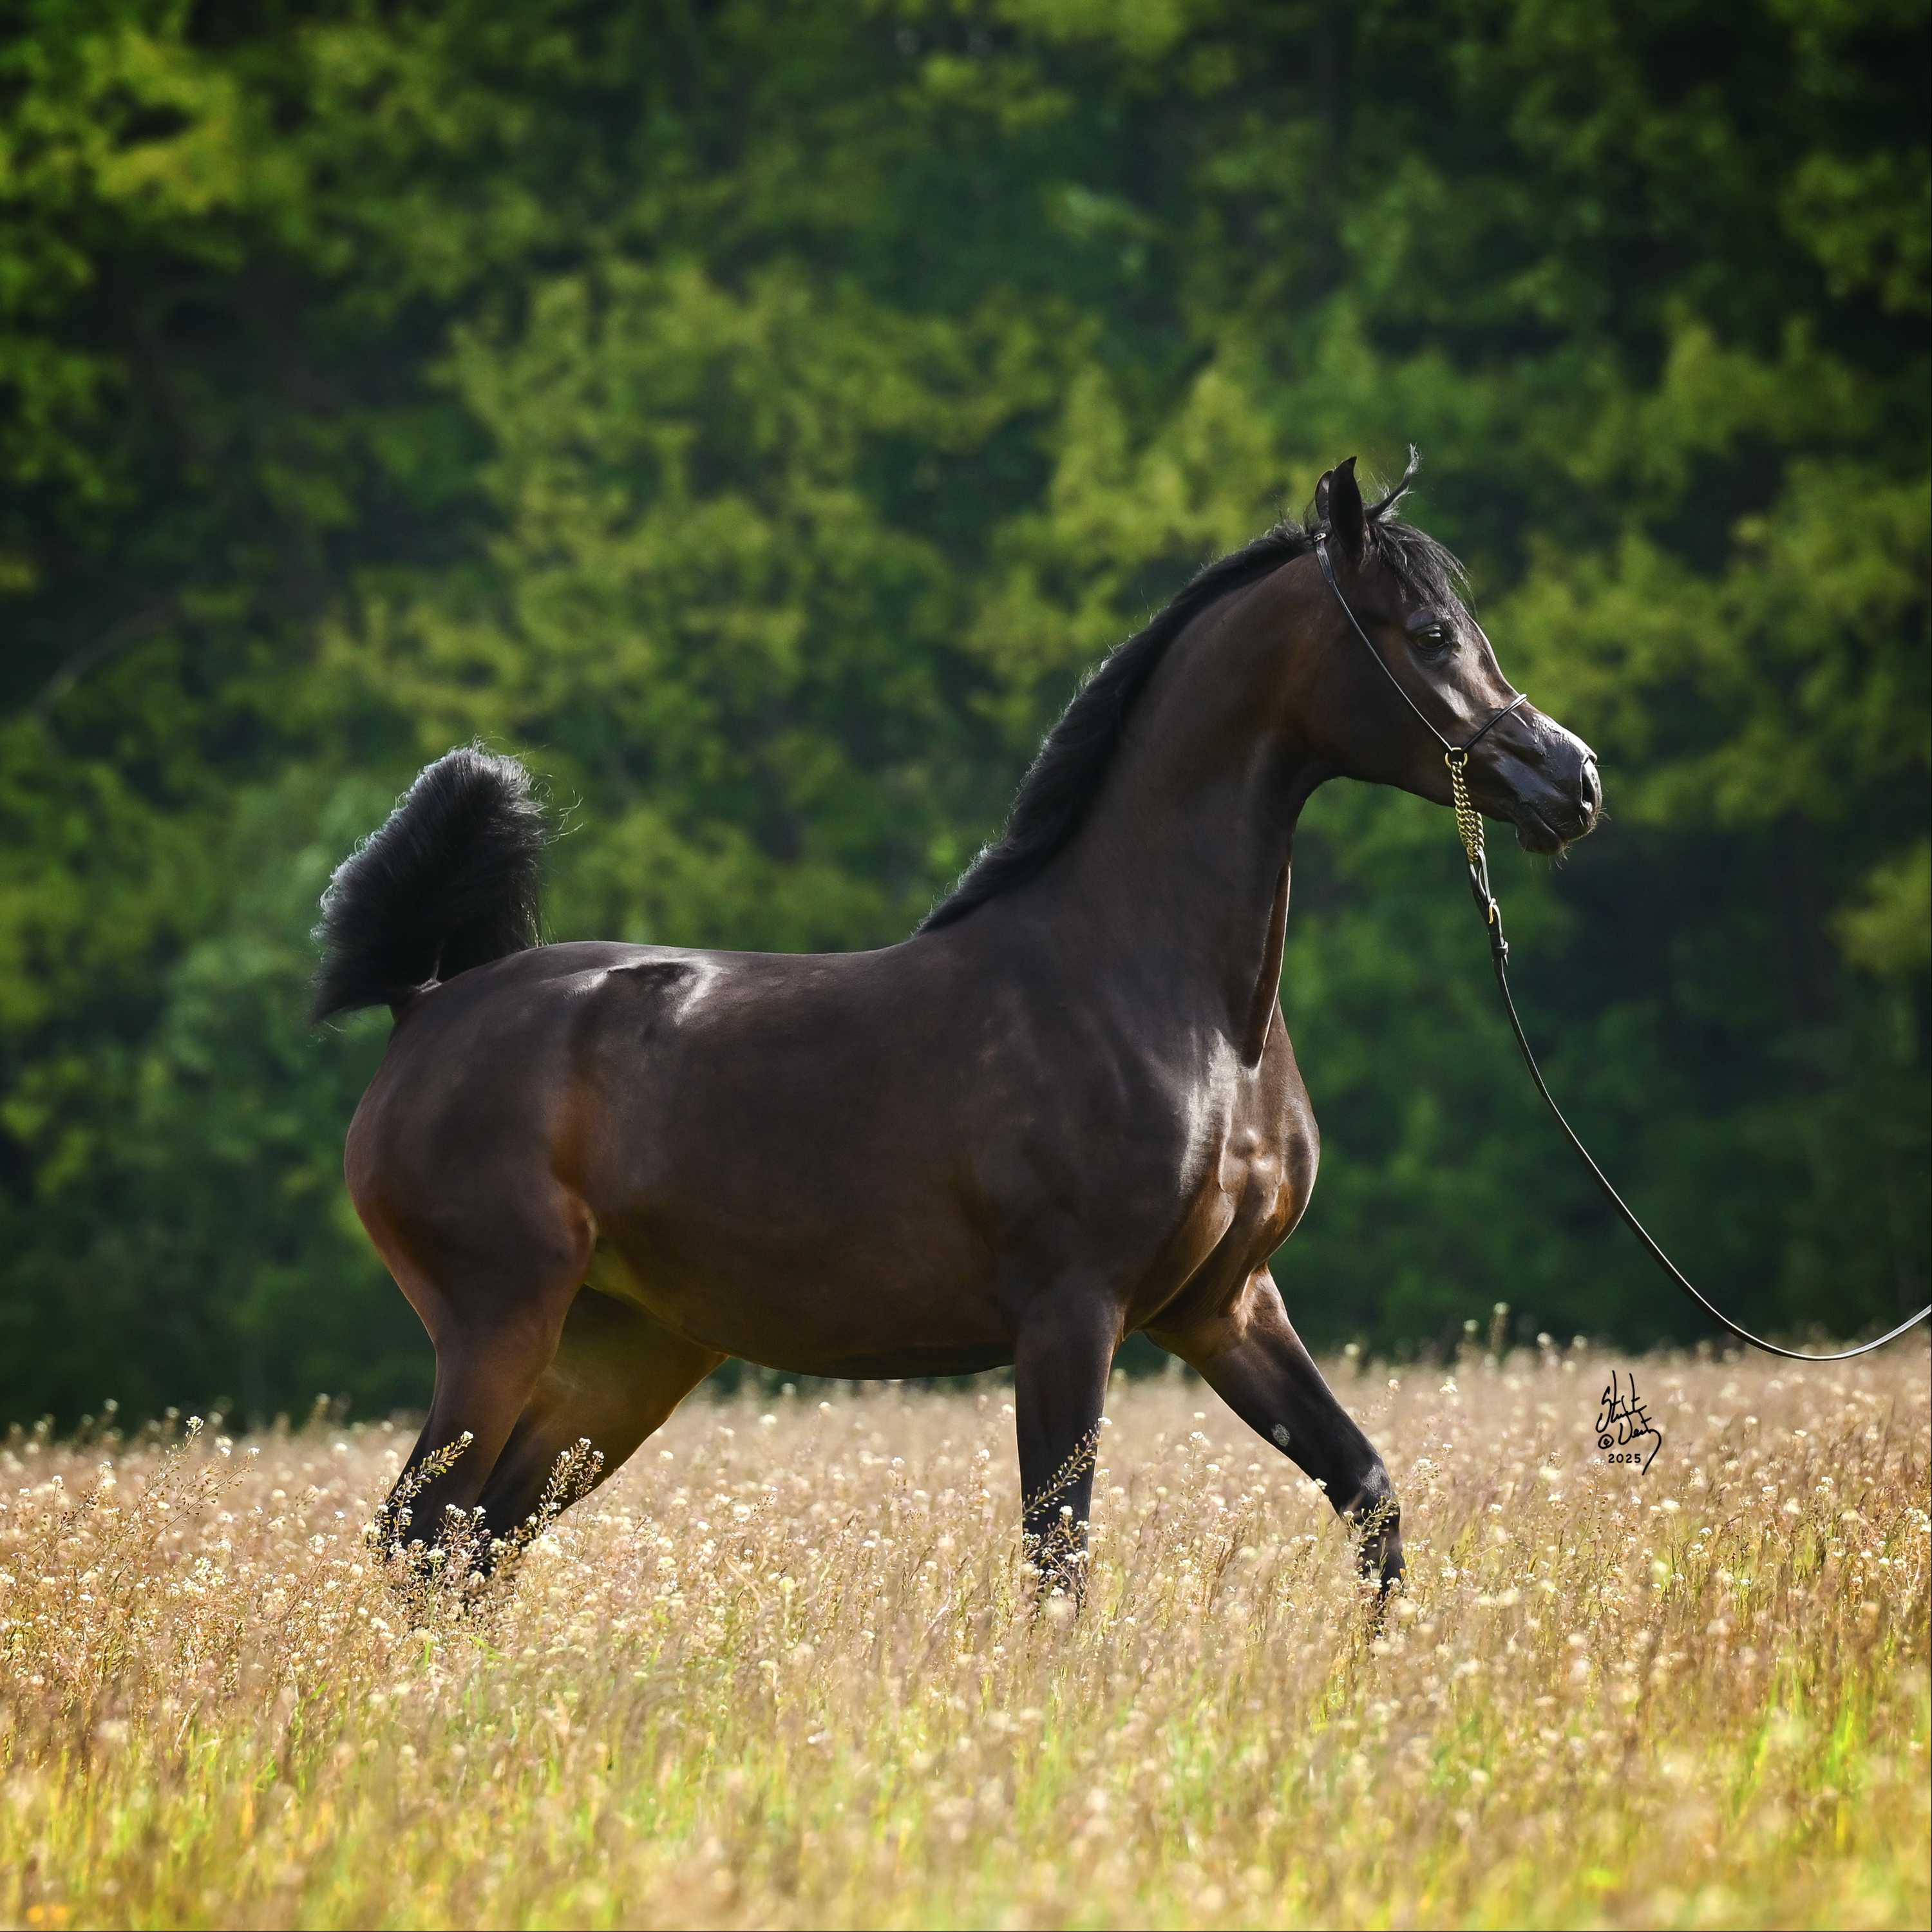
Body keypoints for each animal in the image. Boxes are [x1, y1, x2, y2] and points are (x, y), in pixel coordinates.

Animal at [313, 454, 1601, 1595]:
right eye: (1428, 634)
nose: (1572, 781)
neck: (1163, 996)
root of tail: (426, 1008)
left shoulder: (1226, 1307)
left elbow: (1367, 1489)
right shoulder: (1072, 1313)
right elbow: (1058, 1551)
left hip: (618, 1358)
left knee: (476, 1546)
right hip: (499, 1326)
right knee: (419, 1534)